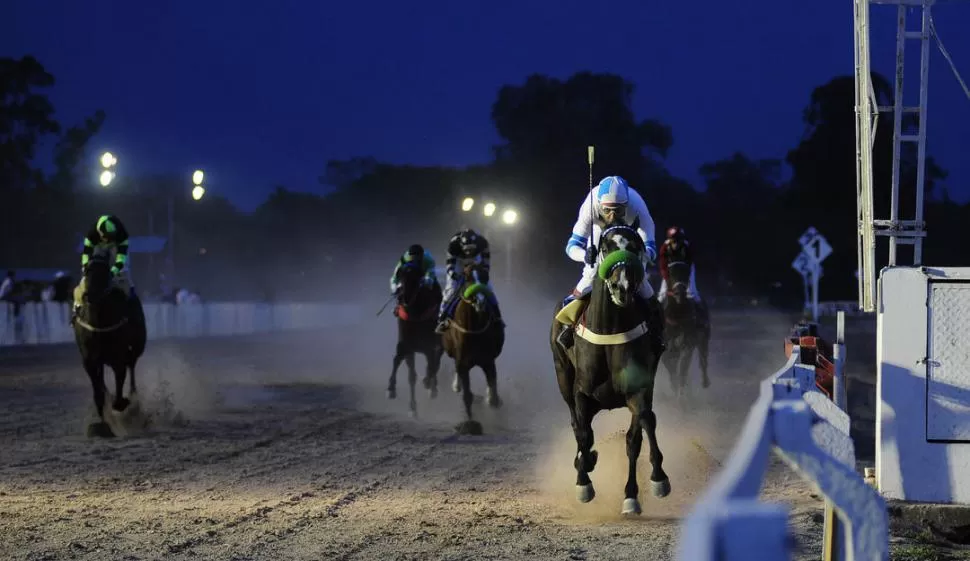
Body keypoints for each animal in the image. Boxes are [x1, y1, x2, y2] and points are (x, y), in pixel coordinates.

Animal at [73, 255, 147, 438]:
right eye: (87, 270)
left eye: (105, 271)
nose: (89, 295)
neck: (99, 325)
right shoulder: (89, 360)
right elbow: (98, 389)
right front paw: (102, 423)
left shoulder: (118, 357)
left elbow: (120, 379)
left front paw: (121, 403)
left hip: (137, 347)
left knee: (132, 366)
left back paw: (133, 401)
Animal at [388, 260, 444, 416]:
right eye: (399, 275)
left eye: (415, 277)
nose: (402, 297)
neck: (415, 314)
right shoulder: (406, 345)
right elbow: (406, 370)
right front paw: (392, 390)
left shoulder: (429, 345)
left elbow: (432, 365)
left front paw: (429, 384)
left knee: (436, 362)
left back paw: (431, 386)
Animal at [436, 260, 500, 436]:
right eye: (468, 277)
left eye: (485, 276)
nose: (480, 300)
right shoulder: (463, 362)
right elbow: (467, 395)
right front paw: (469, 424)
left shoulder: (488, 361)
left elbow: (492, 396)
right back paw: (454, 385)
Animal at [548, 217, 668, 516]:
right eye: (605, 247)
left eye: (635, 246)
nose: (623, 286)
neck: (610, 331)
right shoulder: (581, 392)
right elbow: (582, 432)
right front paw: (583, 482)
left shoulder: (638, 389)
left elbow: (639, 433)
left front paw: (647, 486)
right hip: (562, 375)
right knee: (576, 424)